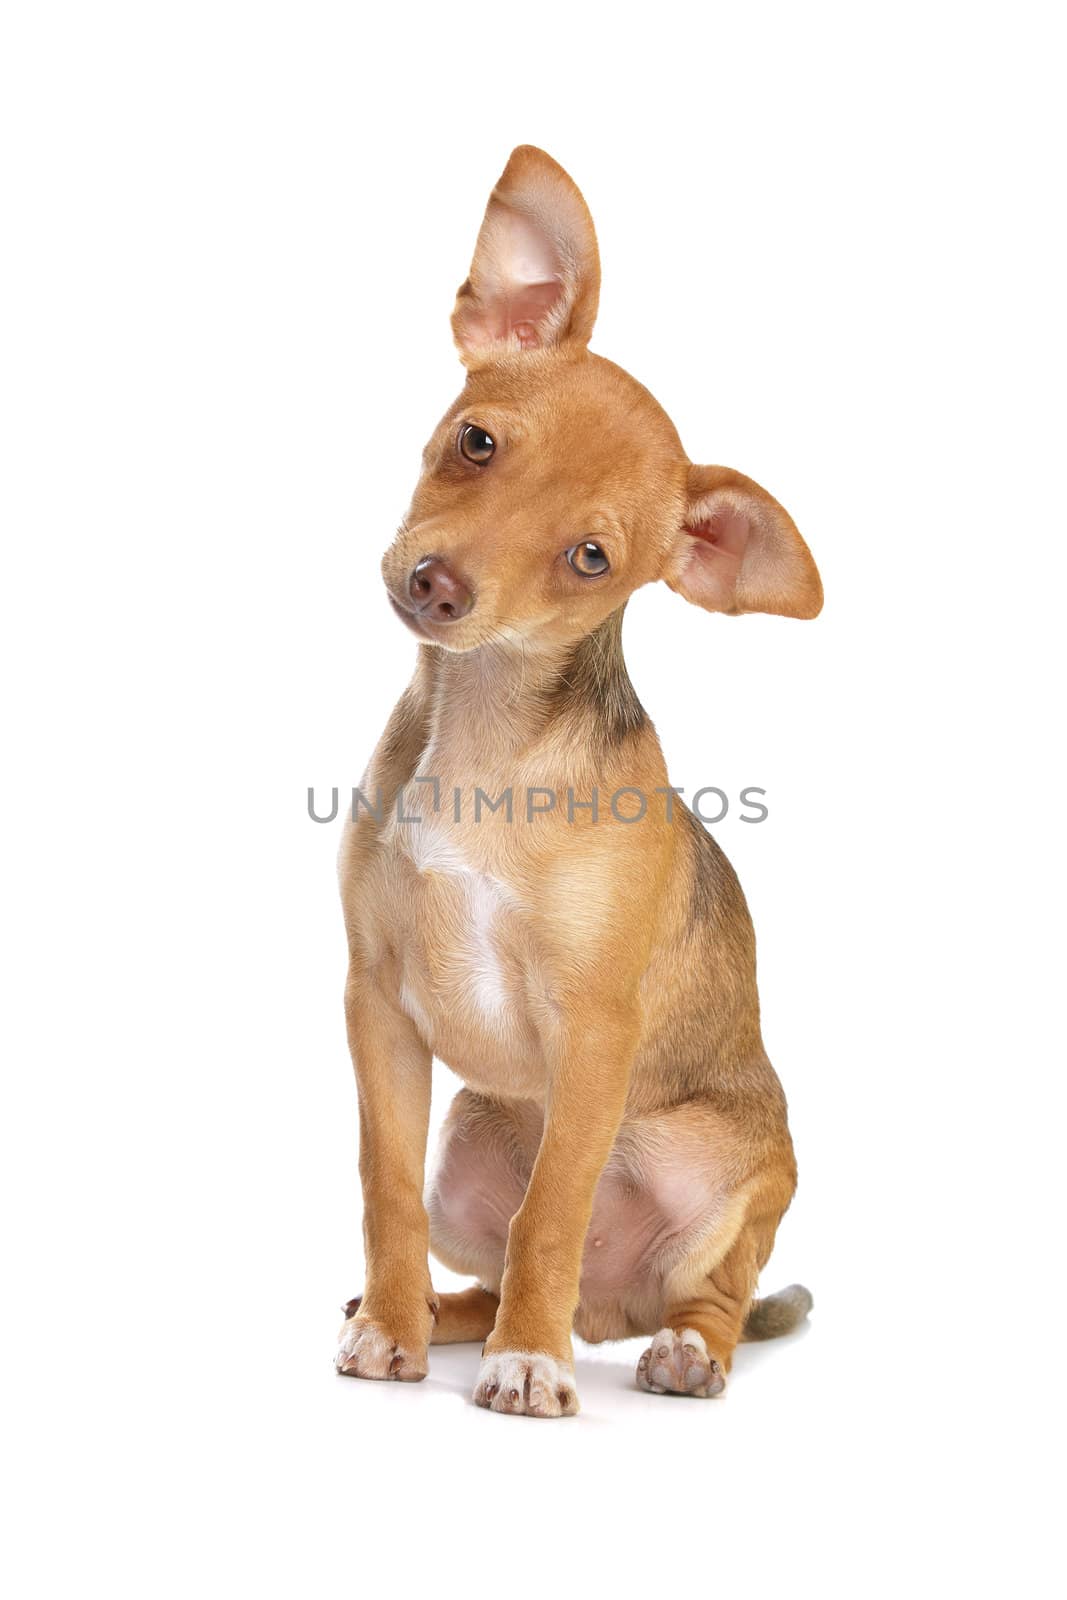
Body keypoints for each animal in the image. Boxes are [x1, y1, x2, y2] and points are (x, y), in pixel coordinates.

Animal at [337, 140, 825, 1414]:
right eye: (476, 442)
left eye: (590, 558)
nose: (438, 584)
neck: (486, 732)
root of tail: (611, 1307)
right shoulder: (376, 1009)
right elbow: (384, 1191)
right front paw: (392, 1328)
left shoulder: (594, 1030)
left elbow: (551, 1208)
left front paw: (526, 1364)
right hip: (469, 1145)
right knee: (479, 1249)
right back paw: (444, 1315)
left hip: (724, 1173)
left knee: (704, 1292)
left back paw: (659, 1351)